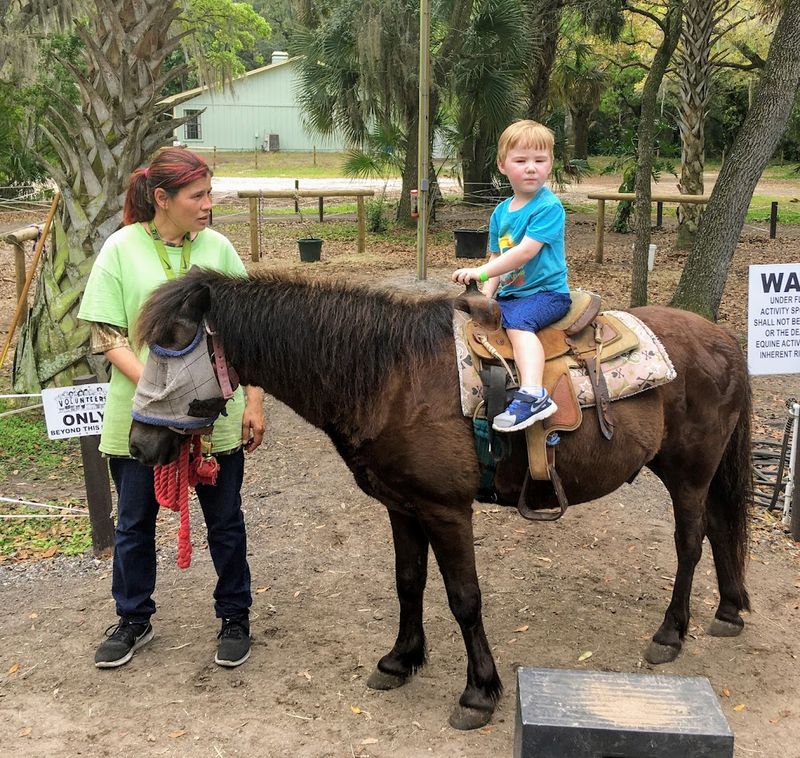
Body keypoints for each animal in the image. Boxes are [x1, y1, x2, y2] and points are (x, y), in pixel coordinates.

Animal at [128, 267, 752, 731]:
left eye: (174, 344)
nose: (140, 443)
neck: (389, 376)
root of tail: (723, 339)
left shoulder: (447, 510)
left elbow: (464, 598)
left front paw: (479, 692)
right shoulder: (402, 506)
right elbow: (408, 583)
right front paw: (400, 660)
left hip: (688, 475)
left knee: (691, 543)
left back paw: (670, 634)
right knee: (720, 530)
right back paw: (728, 611)